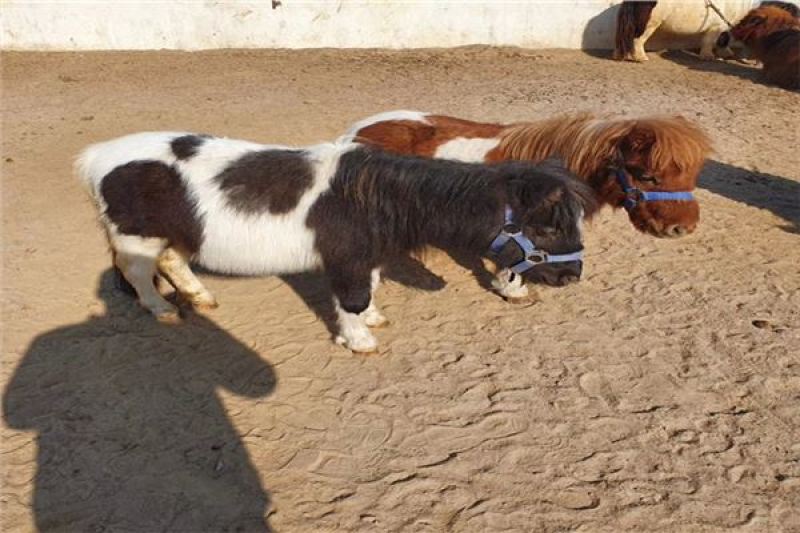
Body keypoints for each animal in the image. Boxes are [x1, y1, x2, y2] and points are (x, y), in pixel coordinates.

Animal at [77, 133, 597, 353]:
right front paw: (360, 340)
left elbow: (371, 290)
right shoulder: (346, 260)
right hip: (136, 236)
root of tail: (96, 156)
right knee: (140, 272)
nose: (572, 277)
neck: (376, 197)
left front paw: (373, 320)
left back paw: (201, 298)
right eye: (547, 228)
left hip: (180, 232)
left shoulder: (366, 256)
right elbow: (351, 298)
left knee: (174, 261)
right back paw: (162, 310)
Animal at [614, 0, 758, 62]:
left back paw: (622, 56)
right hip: (650, 23)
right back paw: (641, 58)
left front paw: (726, 53)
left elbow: (722, 38)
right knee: (637, 38)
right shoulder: (715, 25)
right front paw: (708, 56)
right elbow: (710, 40)